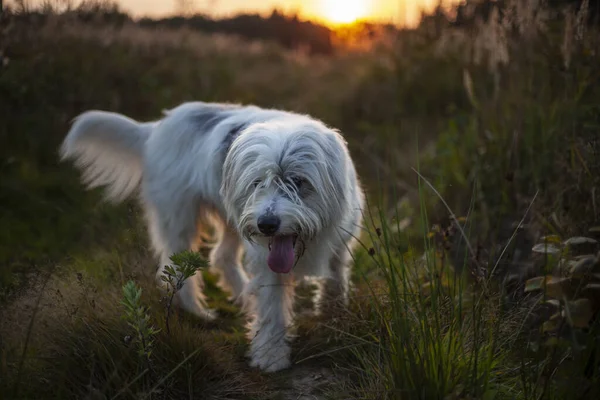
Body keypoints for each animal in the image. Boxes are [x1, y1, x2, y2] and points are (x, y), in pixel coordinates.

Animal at [61, 102, 364, 372]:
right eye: (257, 183)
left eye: (298, 181)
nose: (267, 224)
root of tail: (156, 127)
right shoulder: (267, 261)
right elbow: (271, 310)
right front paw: (270, 356)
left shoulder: (339, 247)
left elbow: (335, 284)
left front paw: (336, 322)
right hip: (181, 220)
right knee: (173, 271)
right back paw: (198, 312)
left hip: (233, 220)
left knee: (221, 257)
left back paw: (243, 296)